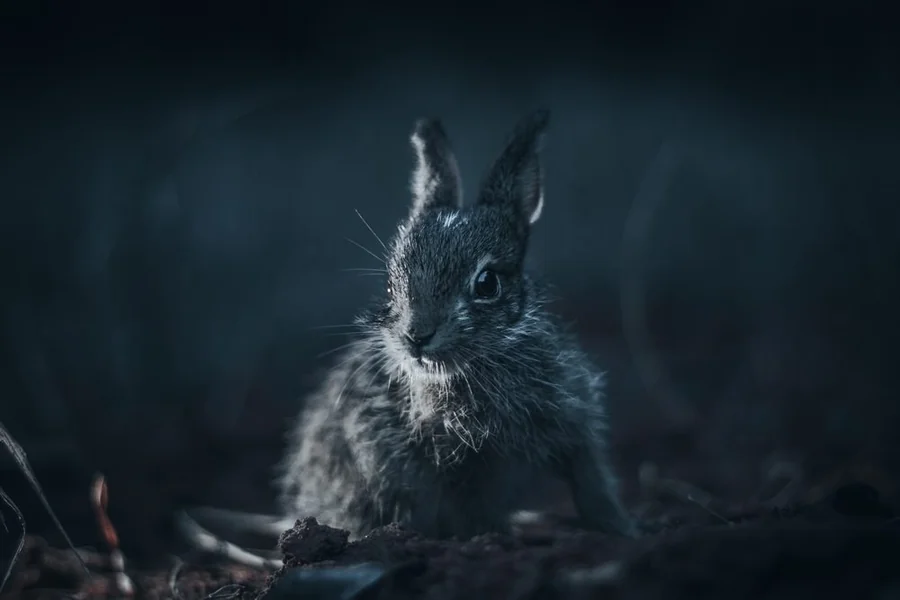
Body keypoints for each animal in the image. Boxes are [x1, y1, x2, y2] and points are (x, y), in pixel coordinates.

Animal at [273, 109, 635, 540]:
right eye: (392, 285)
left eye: (487, 284)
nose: (417, 336)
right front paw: (495, 537)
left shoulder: (572, 424)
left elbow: (592, 481)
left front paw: (623, 529)